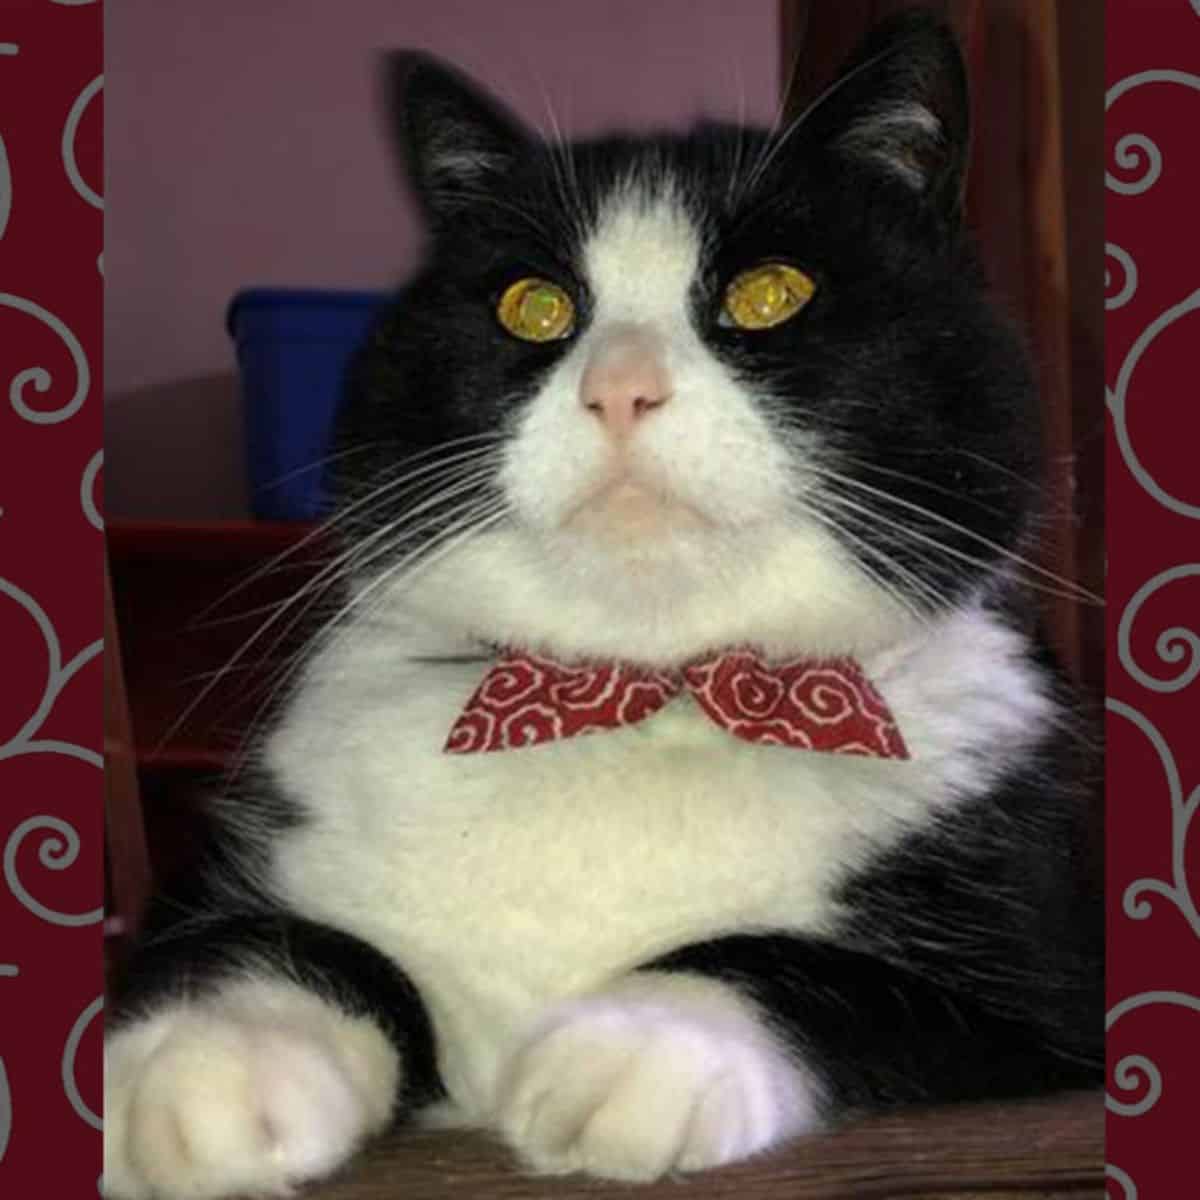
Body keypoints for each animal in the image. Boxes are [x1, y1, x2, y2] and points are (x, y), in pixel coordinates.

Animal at [100, 11, 1099, 1200]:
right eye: (534, 306)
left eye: (772, 293)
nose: (620, 385)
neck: (642, 694)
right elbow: (267, 935)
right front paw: (214, 1064)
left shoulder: (1051, 985)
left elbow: (811, 968)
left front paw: (638, 1042)